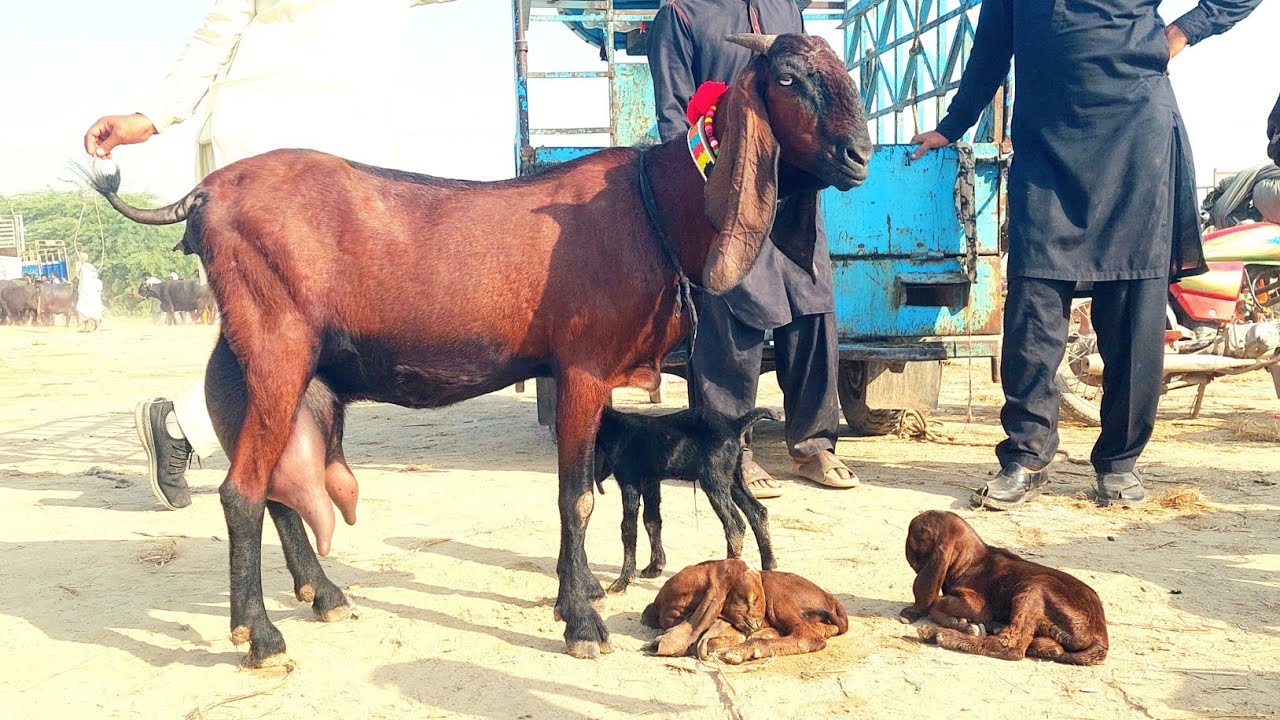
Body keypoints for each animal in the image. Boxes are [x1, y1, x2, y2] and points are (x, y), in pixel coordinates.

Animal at [593, 406, 779, 594]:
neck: (616, 427)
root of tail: (734, 426)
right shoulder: (651, 483)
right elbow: (652, 521)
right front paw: (655, 567)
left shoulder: (630, 482)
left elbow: (629, 528)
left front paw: (622, 581)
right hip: (733, 478)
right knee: (757, 511)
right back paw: (769, 565)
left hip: (714, 481)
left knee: (734, 526)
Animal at [898, 510, 1109, 665]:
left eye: (911, 536)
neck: (970, 561)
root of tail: (1100, 636)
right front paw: (961, 623)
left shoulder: (977, 605)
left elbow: (935, 604)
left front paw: (959, 624)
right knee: (1051, 647)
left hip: (1034, 587)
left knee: (1011, 647)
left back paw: (941, 634)